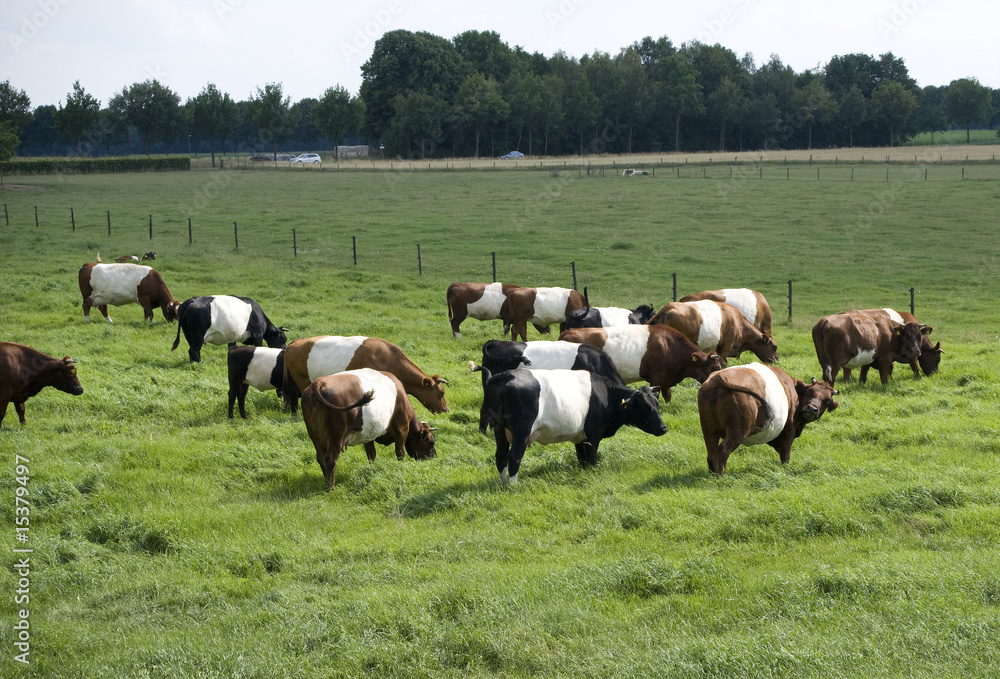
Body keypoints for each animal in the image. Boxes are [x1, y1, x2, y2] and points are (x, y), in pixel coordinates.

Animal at [302, 368, 437, 490]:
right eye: (431, 442)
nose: (433, 456)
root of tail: (318, 382)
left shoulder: (367, 435)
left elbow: (371, 454)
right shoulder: (402, 428)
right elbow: (400, 453)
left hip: (315, 436)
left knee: (321, 458)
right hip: (336, 436)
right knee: (330, 459)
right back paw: (330, 488)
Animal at [471, 364, 667, 484]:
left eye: (657, 405)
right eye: (645, 408)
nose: (663, 428)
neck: (606, 394)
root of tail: (505, 375)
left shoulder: (580, 437)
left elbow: (582, 459)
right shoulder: (593, 435)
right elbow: (592, 458)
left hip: (499, 429)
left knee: (501, 455)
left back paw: (503, 483)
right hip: (522, 431)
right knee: (514, 457)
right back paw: (513, 486)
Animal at [697, 363, 840, 475]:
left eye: (827, 401)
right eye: (809, 392)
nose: (812, 408)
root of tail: (719, 378)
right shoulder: (789, 430)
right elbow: (785, 455)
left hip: (709, 429)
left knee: (711, 453)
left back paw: (713, 474)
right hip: (737, 430)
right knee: (723, 450)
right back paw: (721, 476)